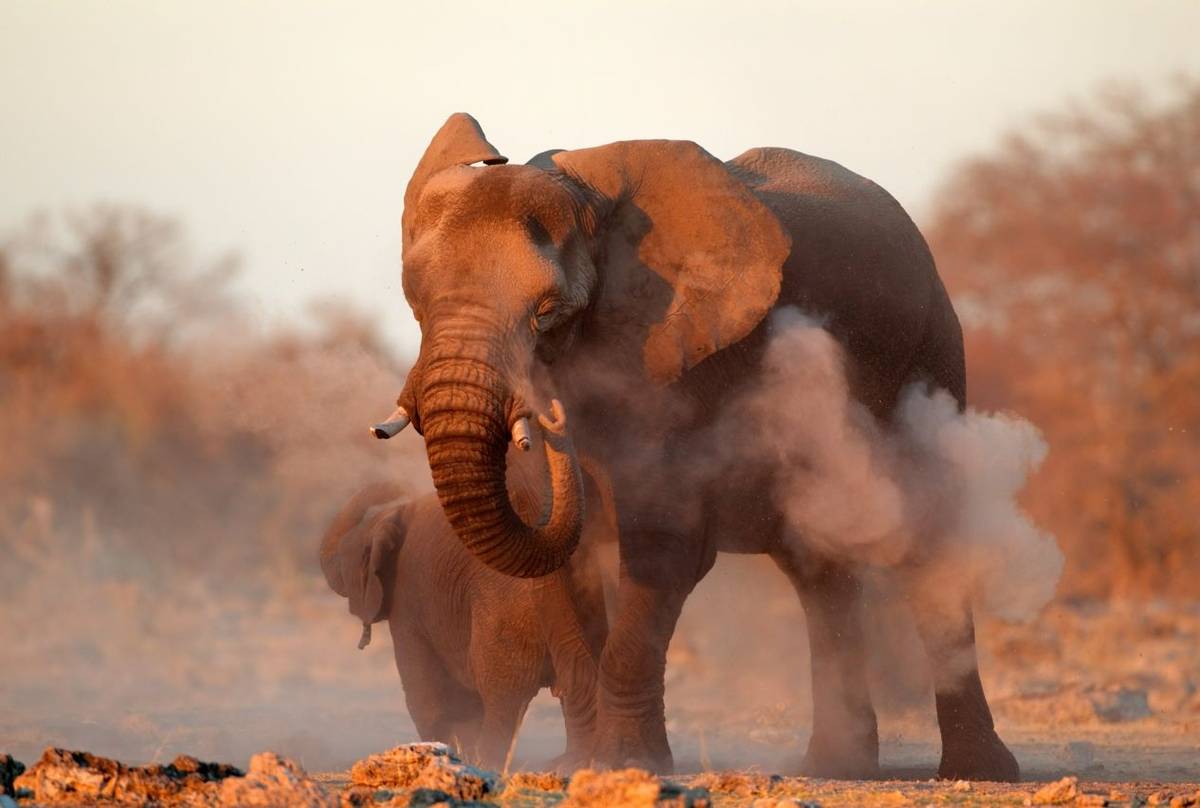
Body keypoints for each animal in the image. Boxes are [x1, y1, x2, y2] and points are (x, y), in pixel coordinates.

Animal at [374, 110, 1022, 777]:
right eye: (416, 302)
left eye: (549, 312)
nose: (550, 414)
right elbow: (563, 567)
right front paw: (575, 766)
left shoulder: (682, 360)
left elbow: (664, 549)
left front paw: (624, 766)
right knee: (818, 568)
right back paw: (835, 766)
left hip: (932, 351)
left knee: (929, 542)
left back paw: (975, 771)